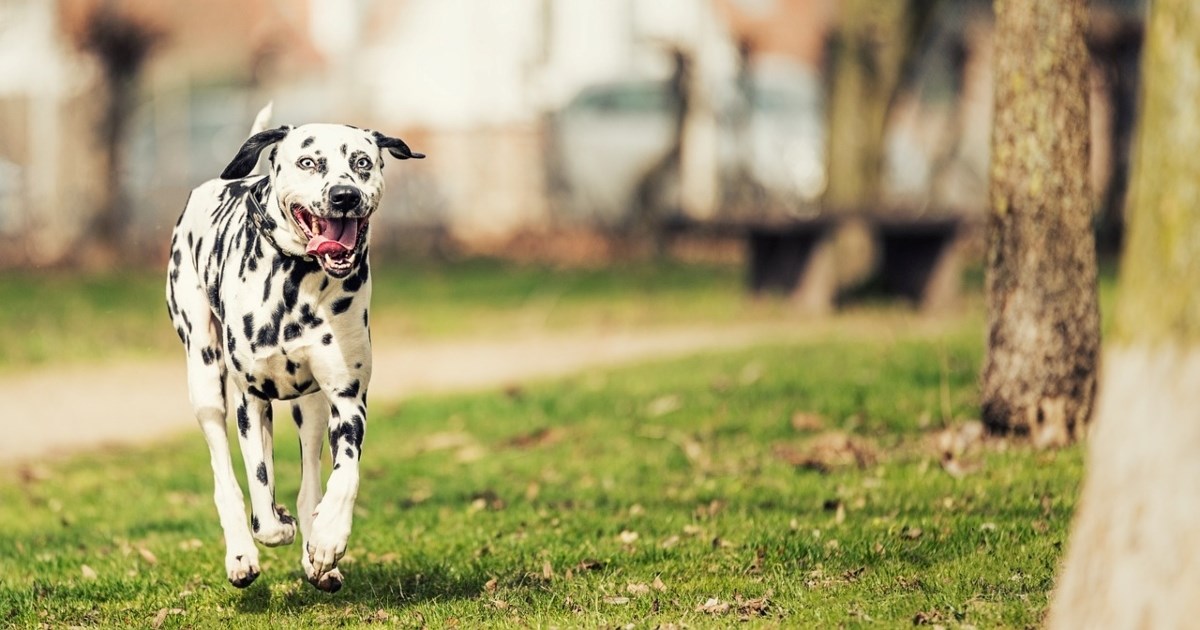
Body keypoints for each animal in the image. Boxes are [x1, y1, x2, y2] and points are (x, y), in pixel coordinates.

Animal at [165, 105, 422, 592]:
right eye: (308, 163)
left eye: (362, 162)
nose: (344, 196)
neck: (297, 283)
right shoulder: (250, 399)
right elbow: (260, 488)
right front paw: (272, 527)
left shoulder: (346, 398)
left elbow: (345, 474)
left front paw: (328, 538)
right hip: (205, 380)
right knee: (227, 475)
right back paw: (242, 553)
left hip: (312, 408)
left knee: (309, 482)